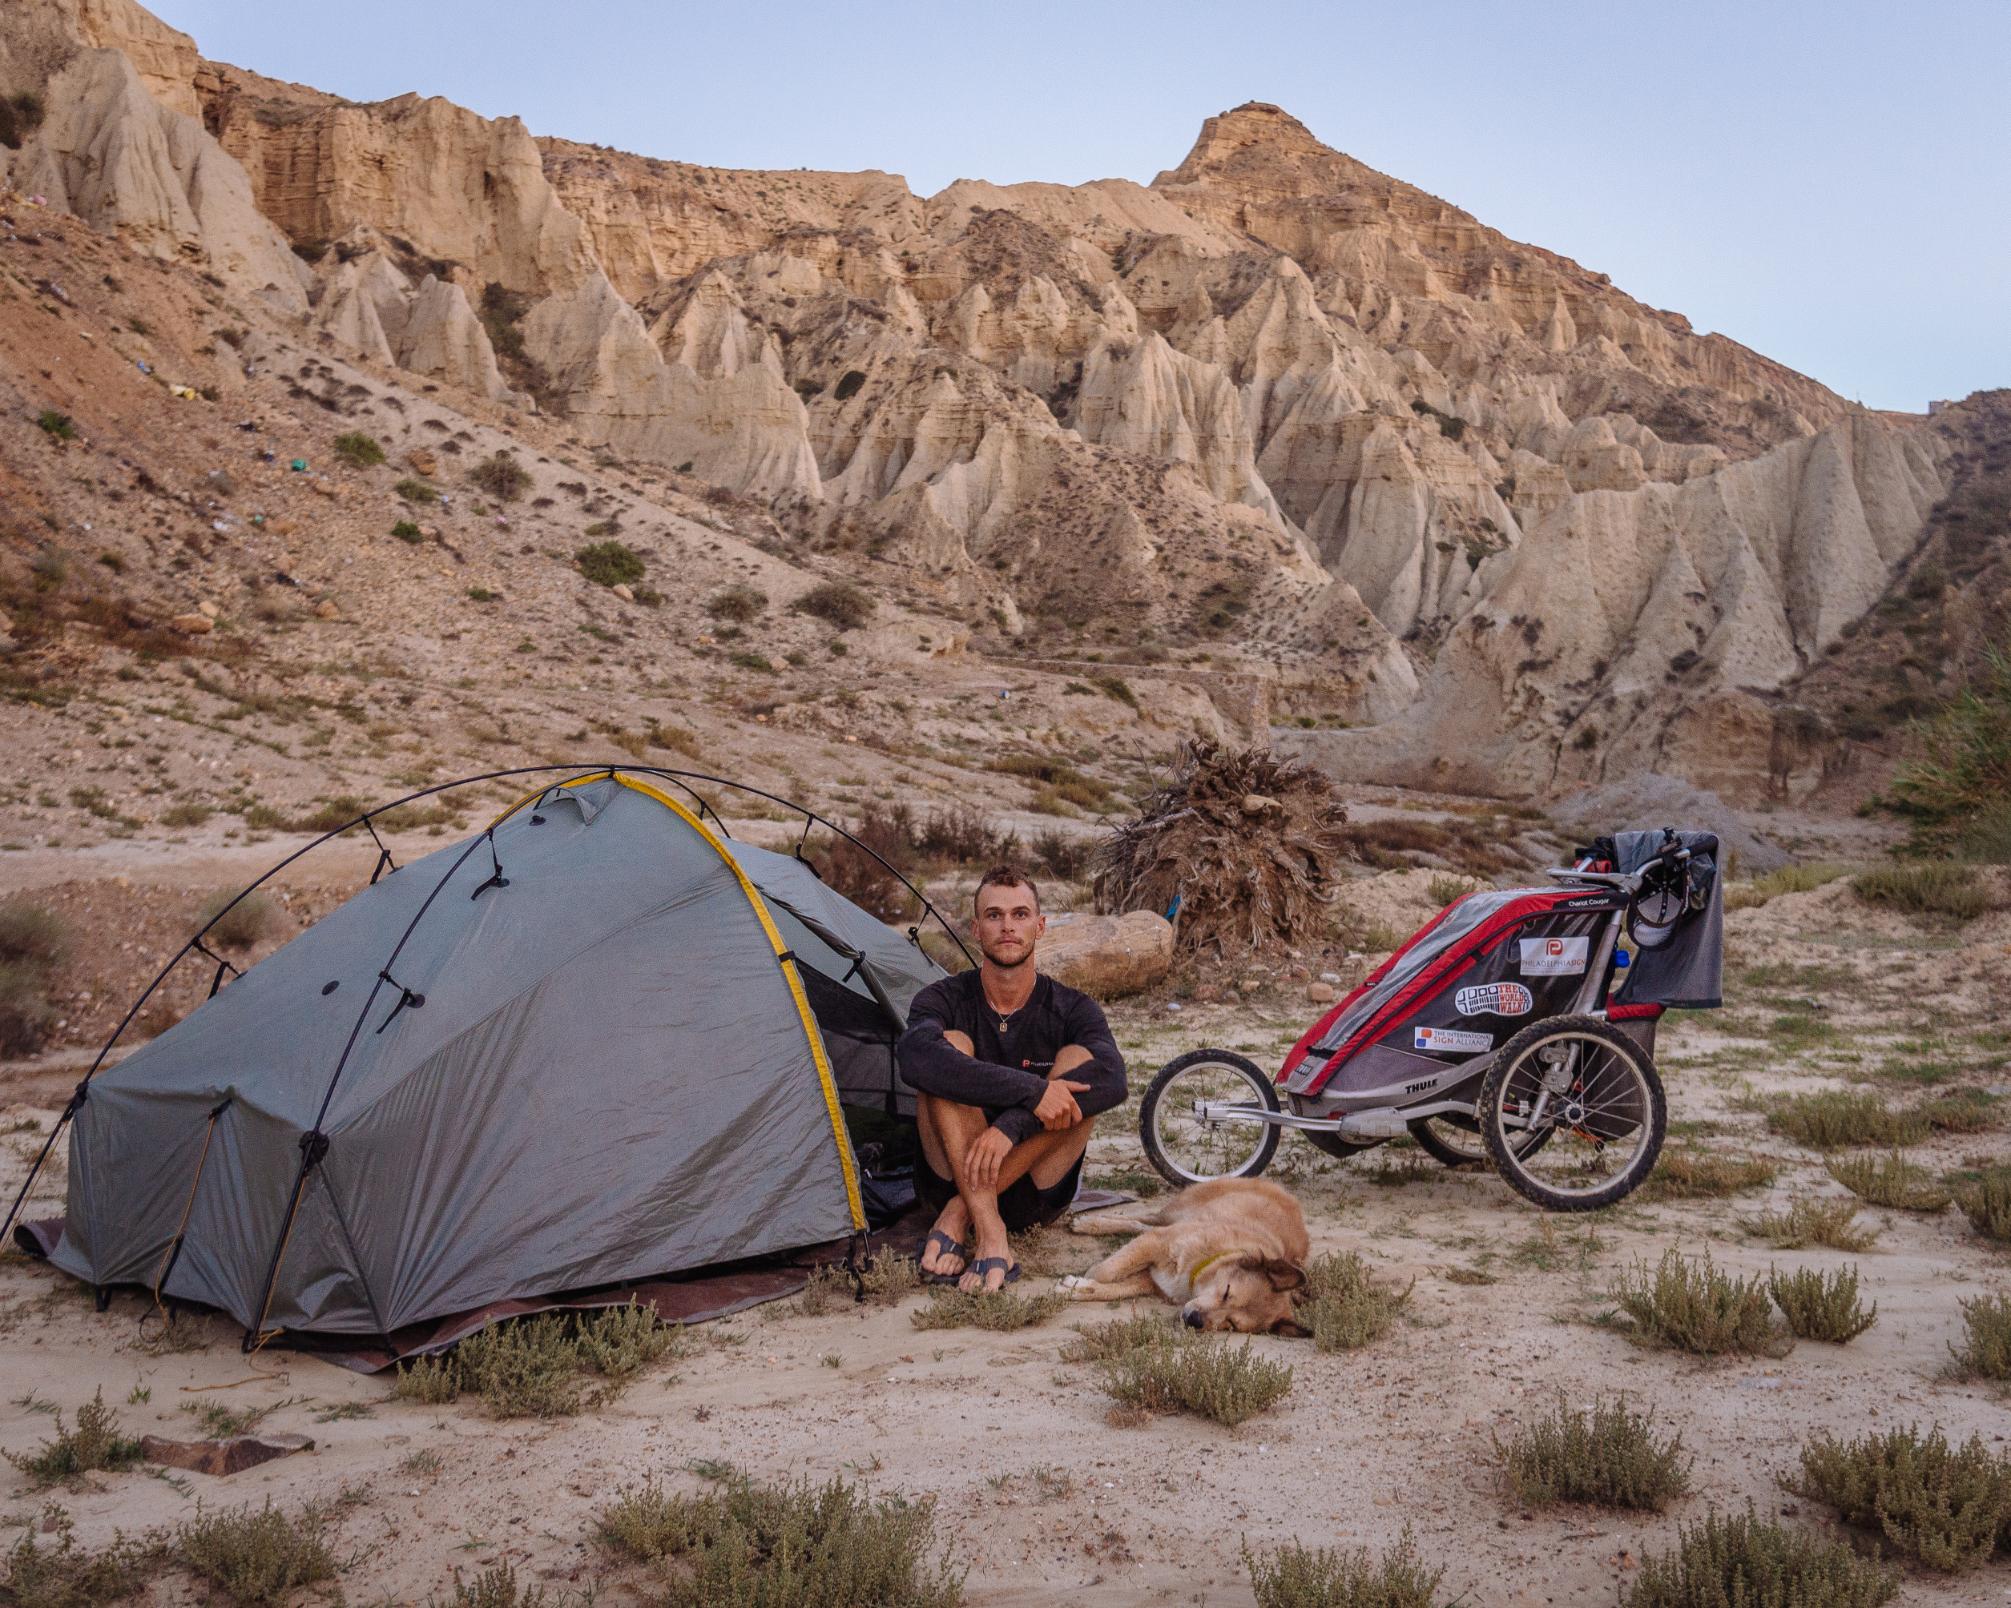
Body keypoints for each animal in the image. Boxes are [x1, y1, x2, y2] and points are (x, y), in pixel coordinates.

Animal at [1061, 1173, 1311, 1334]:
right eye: (1227, 1292)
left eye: (1232, 1324)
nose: (1195, 1321)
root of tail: (1286, 1194)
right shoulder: (1156, 1243)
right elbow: (1105, 1272)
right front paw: (1081, 1280)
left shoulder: (1151, 1279)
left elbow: (1113, 1288)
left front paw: (1075, 1288)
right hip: (1175, 1214)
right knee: (1140, 1220)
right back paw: (1089, 1222)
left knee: (1141, 1226)